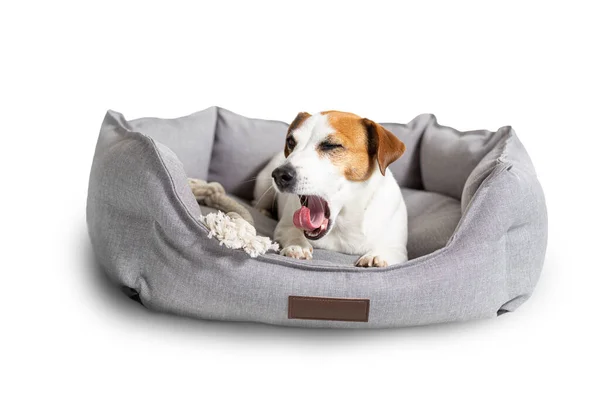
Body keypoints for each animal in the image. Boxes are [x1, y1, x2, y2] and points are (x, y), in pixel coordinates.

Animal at [253, 111, 408, 268]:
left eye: (330, 145)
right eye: (291, 142)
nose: (280, 174)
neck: (343, 221)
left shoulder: (399, 249)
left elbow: (391, 250)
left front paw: (377, 256)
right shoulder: (284, 226)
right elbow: (291, 232)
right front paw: (297, 246)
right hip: (263, 184)